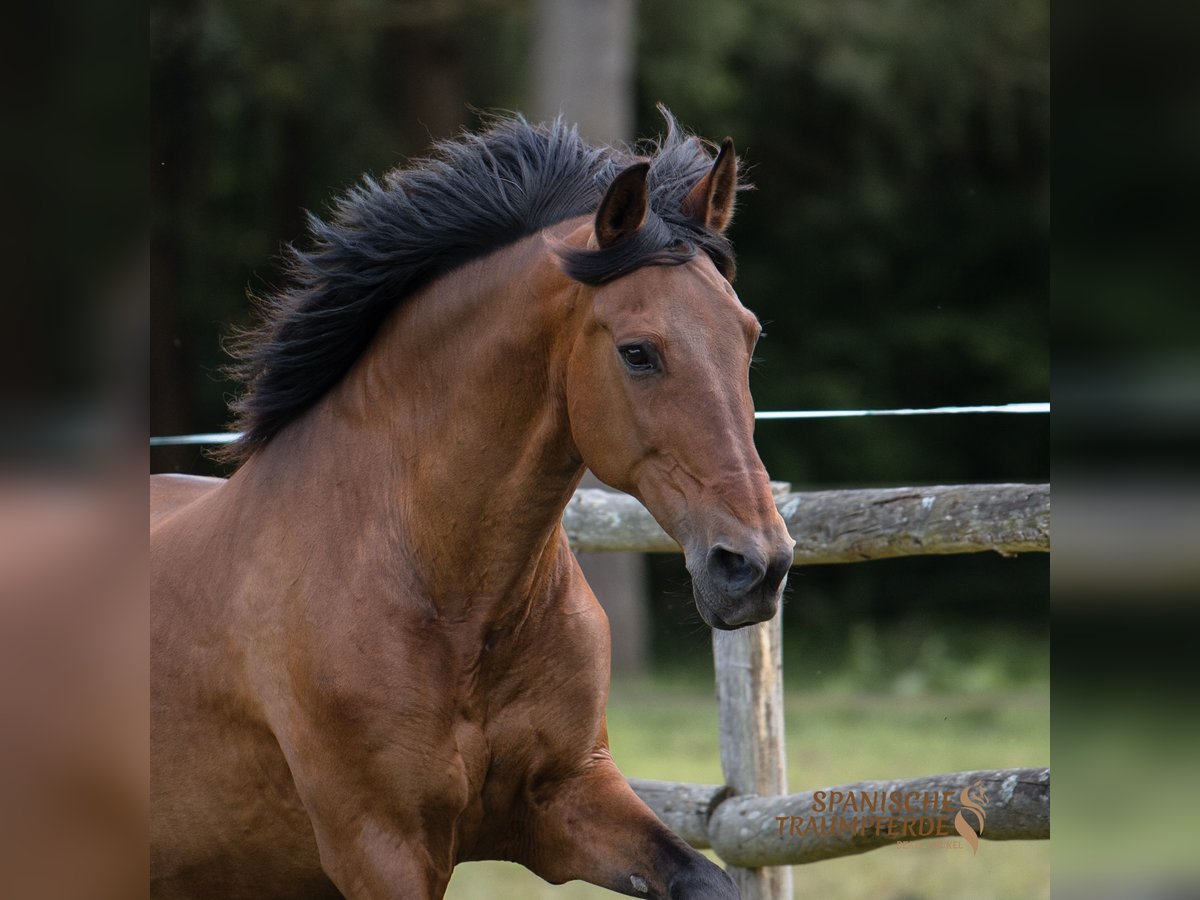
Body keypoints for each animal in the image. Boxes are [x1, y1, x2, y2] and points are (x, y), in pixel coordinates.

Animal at [150, 114, 796, 900]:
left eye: (748, 334)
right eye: (638, 352)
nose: (755, 567)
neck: (457, 605)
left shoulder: (569, 799)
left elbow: (708, 880)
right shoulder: (380, 847)